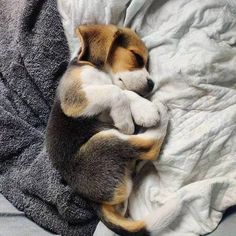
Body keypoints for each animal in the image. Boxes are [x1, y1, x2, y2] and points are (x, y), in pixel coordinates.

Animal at [45, 24, 168, 235]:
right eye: (136, 57)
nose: (152, 84)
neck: (101, 72)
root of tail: (95, 201)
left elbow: (125, 92)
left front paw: (143, 109)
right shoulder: (76, 99)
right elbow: (117, 92)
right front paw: (128, 119)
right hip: (104, 141)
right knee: (148, 147)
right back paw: (162, 111)